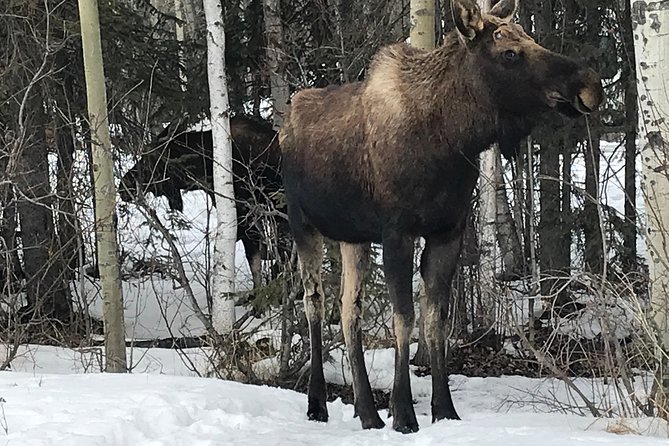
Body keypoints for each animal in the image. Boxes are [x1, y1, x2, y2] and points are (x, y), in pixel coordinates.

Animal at [280, 0, 604, 436]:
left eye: (530, 38)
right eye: (509, 53)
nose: (590, 84)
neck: (453, 140)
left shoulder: (447, 231)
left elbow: (437, 320)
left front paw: (444, 409)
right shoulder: (397, 233)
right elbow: (404, 318)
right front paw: (403, 412)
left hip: (354, 237)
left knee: (350, 309)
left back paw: (367, 412)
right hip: (303, 225)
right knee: (313, 302)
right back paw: (317, 403)